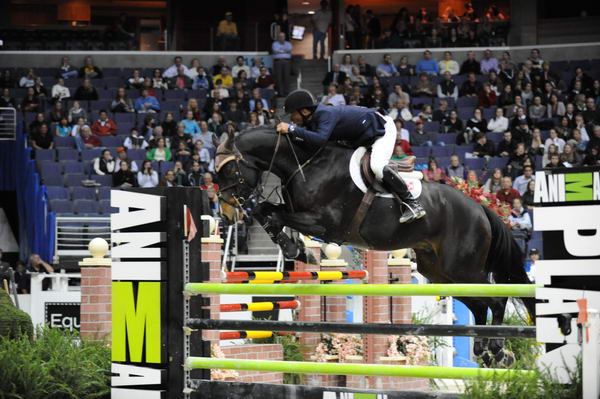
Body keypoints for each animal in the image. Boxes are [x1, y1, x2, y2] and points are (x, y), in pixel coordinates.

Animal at [216, 127, 536, 366]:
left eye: (229, 171)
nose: (226, 215)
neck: (303, 164)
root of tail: (480, 207)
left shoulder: (325, 223)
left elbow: (272, 213)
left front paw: (296, 248)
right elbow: (267, 211)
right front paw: (294, 247)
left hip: (462, 268)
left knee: (496, 300)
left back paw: (497, 349)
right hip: (440, 272)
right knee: (480, 303)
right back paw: (483, 348)